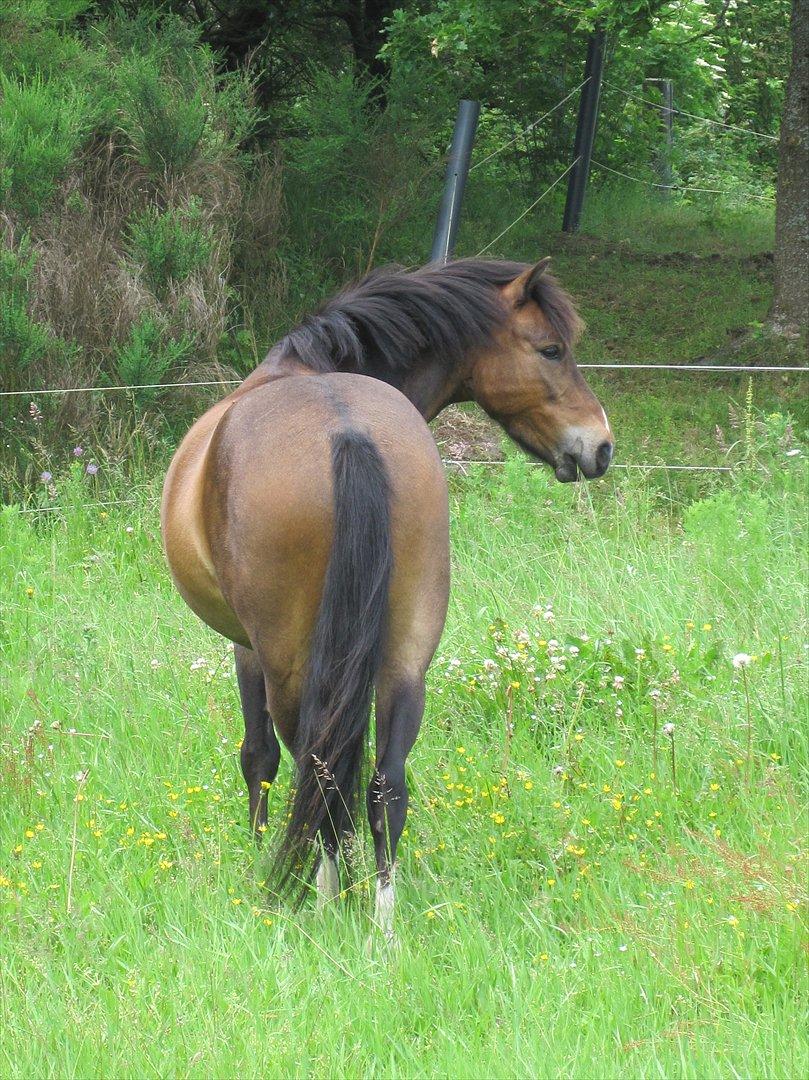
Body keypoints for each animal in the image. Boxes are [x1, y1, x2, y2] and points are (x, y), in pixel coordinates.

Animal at [160, 257, 609, 933]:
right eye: (551, 349)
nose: (600, 445)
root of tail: (346, 428)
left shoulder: (246, 650)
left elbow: (258, 758)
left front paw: (259, 849)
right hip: (405, 659)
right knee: (384, 785)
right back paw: (382, 920)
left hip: (293, 664)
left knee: (318, 768)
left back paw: (323, 896)